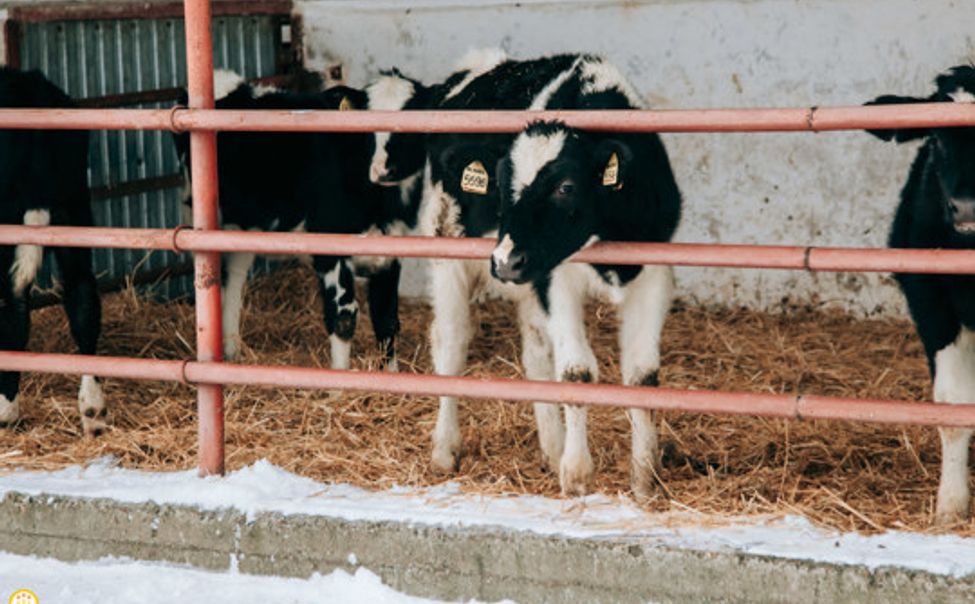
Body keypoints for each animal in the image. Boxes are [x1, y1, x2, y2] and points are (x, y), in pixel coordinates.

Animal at [177, 73, 422, 370]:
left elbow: (387, 321)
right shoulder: (330, 250)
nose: (384, 169)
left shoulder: (391, 253)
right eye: (366, 127)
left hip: (243, 225)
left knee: (234, 273)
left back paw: (232, 350)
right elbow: (343, 318)